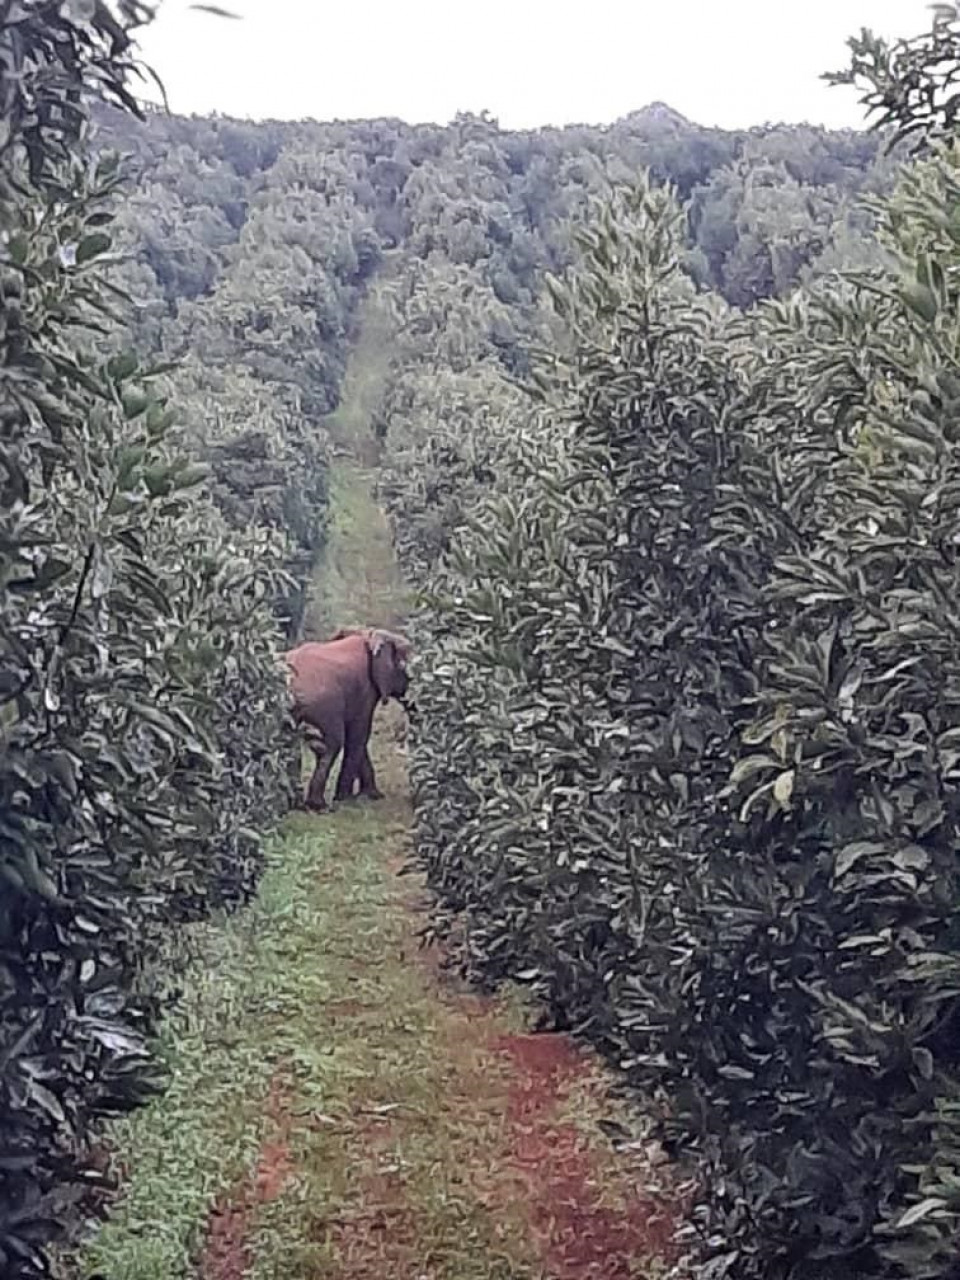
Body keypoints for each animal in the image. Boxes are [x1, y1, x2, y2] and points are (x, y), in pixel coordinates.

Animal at [281, 627, 409, 814]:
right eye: (404, 670)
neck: (369, 634)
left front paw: (372, 796)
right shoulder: (366, 688)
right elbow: (359, 735)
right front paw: (348, 799)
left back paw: (295, 805)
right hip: (323, 704)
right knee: (329, 744)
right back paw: (318, 806)